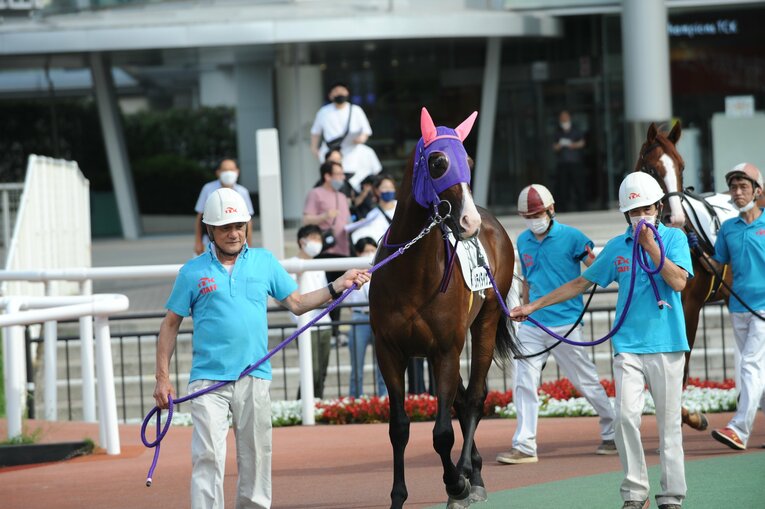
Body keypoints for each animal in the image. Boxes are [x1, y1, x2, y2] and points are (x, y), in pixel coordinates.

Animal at [369, 107, 520, 509]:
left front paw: (456, 484)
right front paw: (397, 497)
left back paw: (470, 475)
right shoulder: (389, 351)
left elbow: (441, 433)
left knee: (475, 399)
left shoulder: (446, 350)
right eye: (438, 162)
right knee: (462, 400)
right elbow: (399, 428)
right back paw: (475, 469)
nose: (468, 222)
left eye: (470, 162)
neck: (412, 273)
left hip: (485, 322)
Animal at [634, 122, 737, 430]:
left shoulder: (690, 306)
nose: (676, 218)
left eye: (681, 166)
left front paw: (687, 416)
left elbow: (681, 364)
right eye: (652, 169)